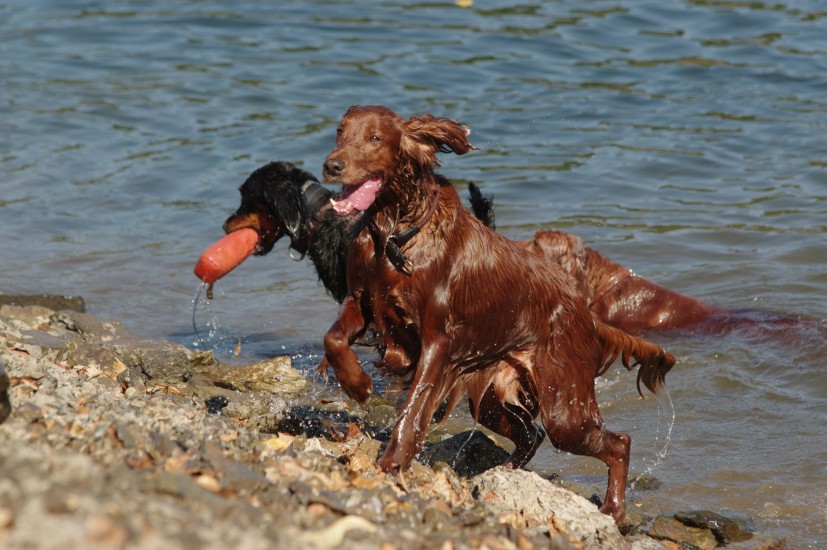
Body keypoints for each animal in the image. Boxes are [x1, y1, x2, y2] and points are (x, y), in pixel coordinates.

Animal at [319, 105, 676, 521]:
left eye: (375, 138)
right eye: (340, 131)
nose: (332, 165)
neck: (396, 231)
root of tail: (585, 313)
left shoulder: (437, 341)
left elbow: (414, 405)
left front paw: (393, 460)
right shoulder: (363, 299)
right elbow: (334, 337)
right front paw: (356, 383)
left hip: (564, 406)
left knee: (616, 442)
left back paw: (613, 510)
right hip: (494, 395)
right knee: (532, 433)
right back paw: (504, 474)